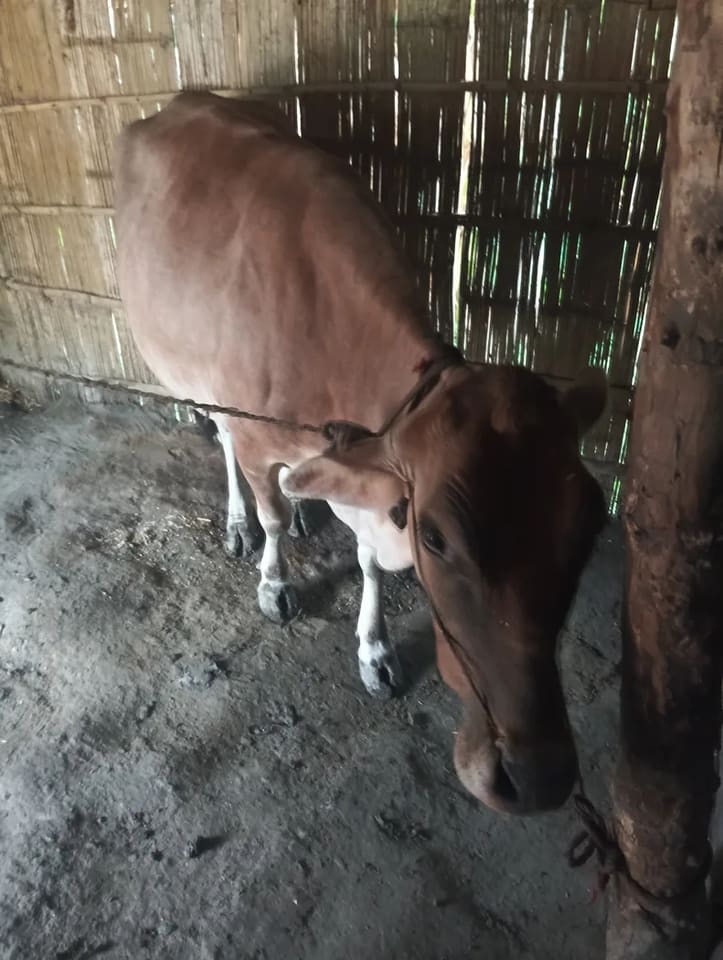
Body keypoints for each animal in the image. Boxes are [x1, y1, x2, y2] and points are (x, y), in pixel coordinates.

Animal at [115, 91, 607, 815]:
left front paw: (374, 650)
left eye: (587, 527)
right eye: (436, 538)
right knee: (225, 443)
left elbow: (369, 562)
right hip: (195, 378)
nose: (540, 776)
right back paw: (241, 522)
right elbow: (268, 510)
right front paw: (273, 580)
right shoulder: (260, 432)